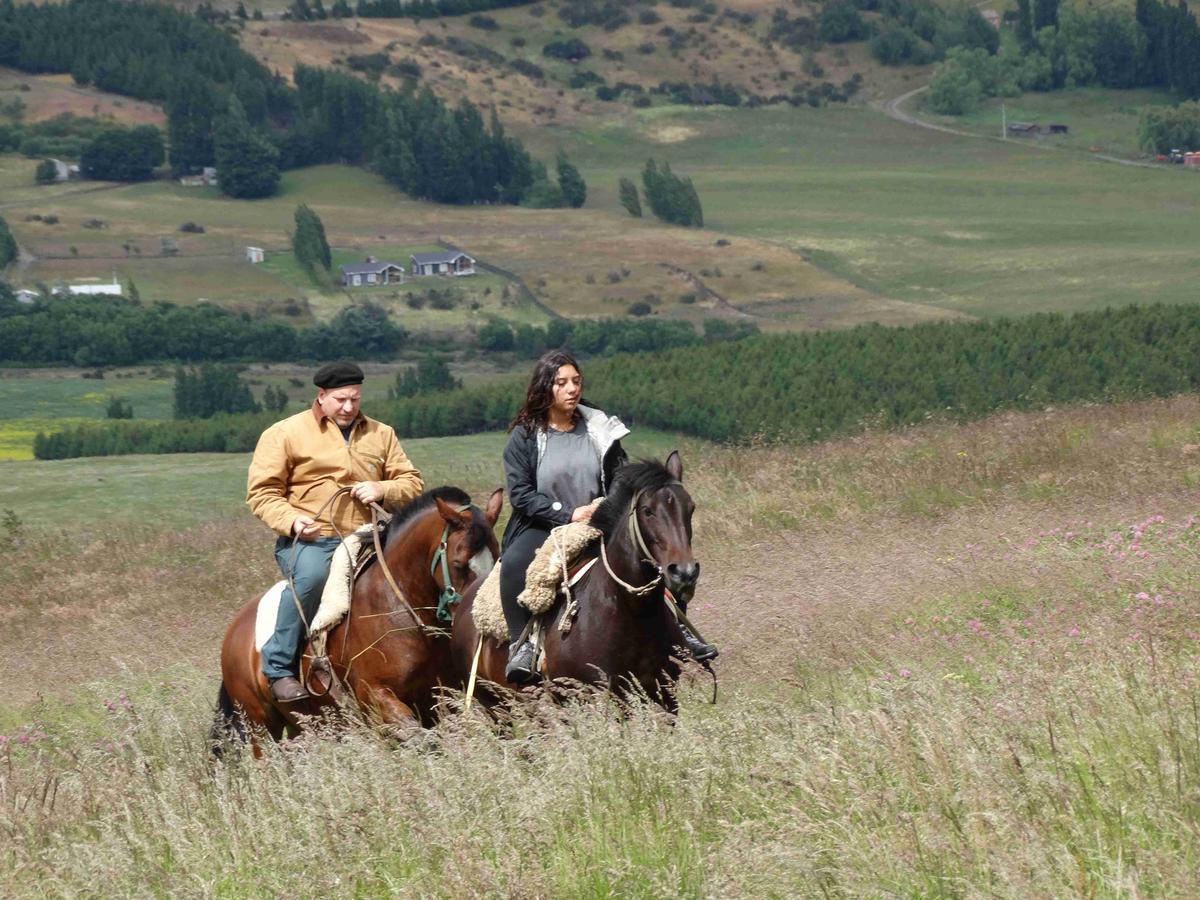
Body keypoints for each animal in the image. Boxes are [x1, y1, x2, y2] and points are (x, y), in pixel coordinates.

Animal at [213, 487, 499, 753]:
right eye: (459, 563)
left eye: (497, 558)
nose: (473, 621)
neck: (395, 604)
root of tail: (234, 631)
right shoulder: (375, 697)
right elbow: (420, 738)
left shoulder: (440, 698)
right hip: (259, 727)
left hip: (303, 722)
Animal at [451, 453, 700, 715]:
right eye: (648, 510)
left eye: (690, 508)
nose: (684, 572)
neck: (633, 613)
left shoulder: (665, 697)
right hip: (493, 707)